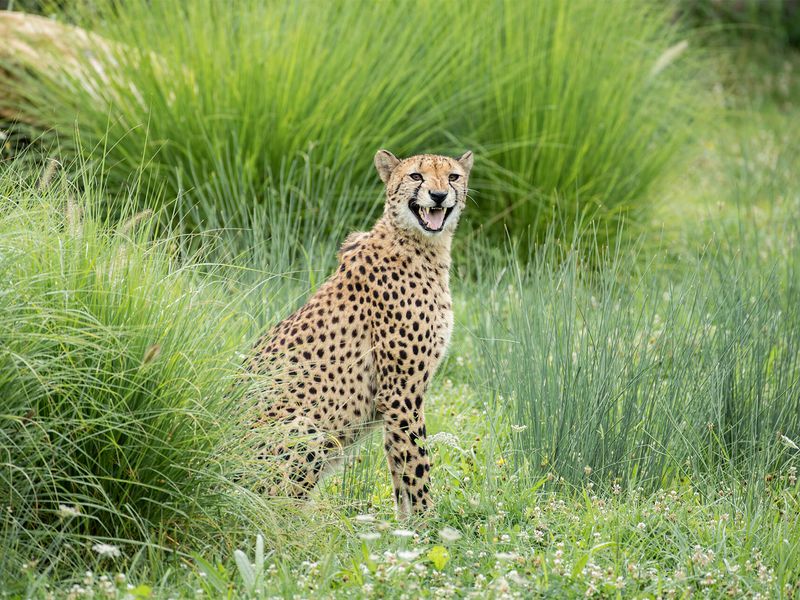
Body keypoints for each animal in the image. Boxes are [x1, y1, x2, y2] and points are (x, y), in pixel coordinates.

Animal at [247, 149, 472, 516]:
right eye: (416, 176)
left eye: (452, 176)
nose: (439, 195)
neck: (423, 245)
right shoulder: (400, 392)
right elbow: (417, 466)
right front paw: (431, 522)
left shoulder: (395, 400)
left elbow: (400, 469)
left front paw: (406, 527)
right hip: (306, 430)